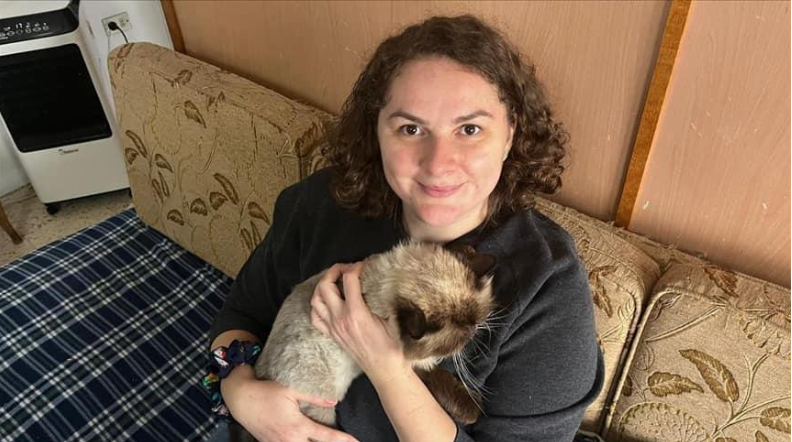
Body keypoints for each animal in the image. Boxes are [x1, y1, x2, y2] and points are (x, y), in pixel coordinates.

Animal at [230, 241, 496, 442]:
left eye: (475, 322)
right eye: (460, 337)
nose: (474, 331)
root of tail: (261, 371)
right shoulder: (409, 363)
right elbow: (442, 379)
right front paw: (474, 410)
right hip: (320, 409)